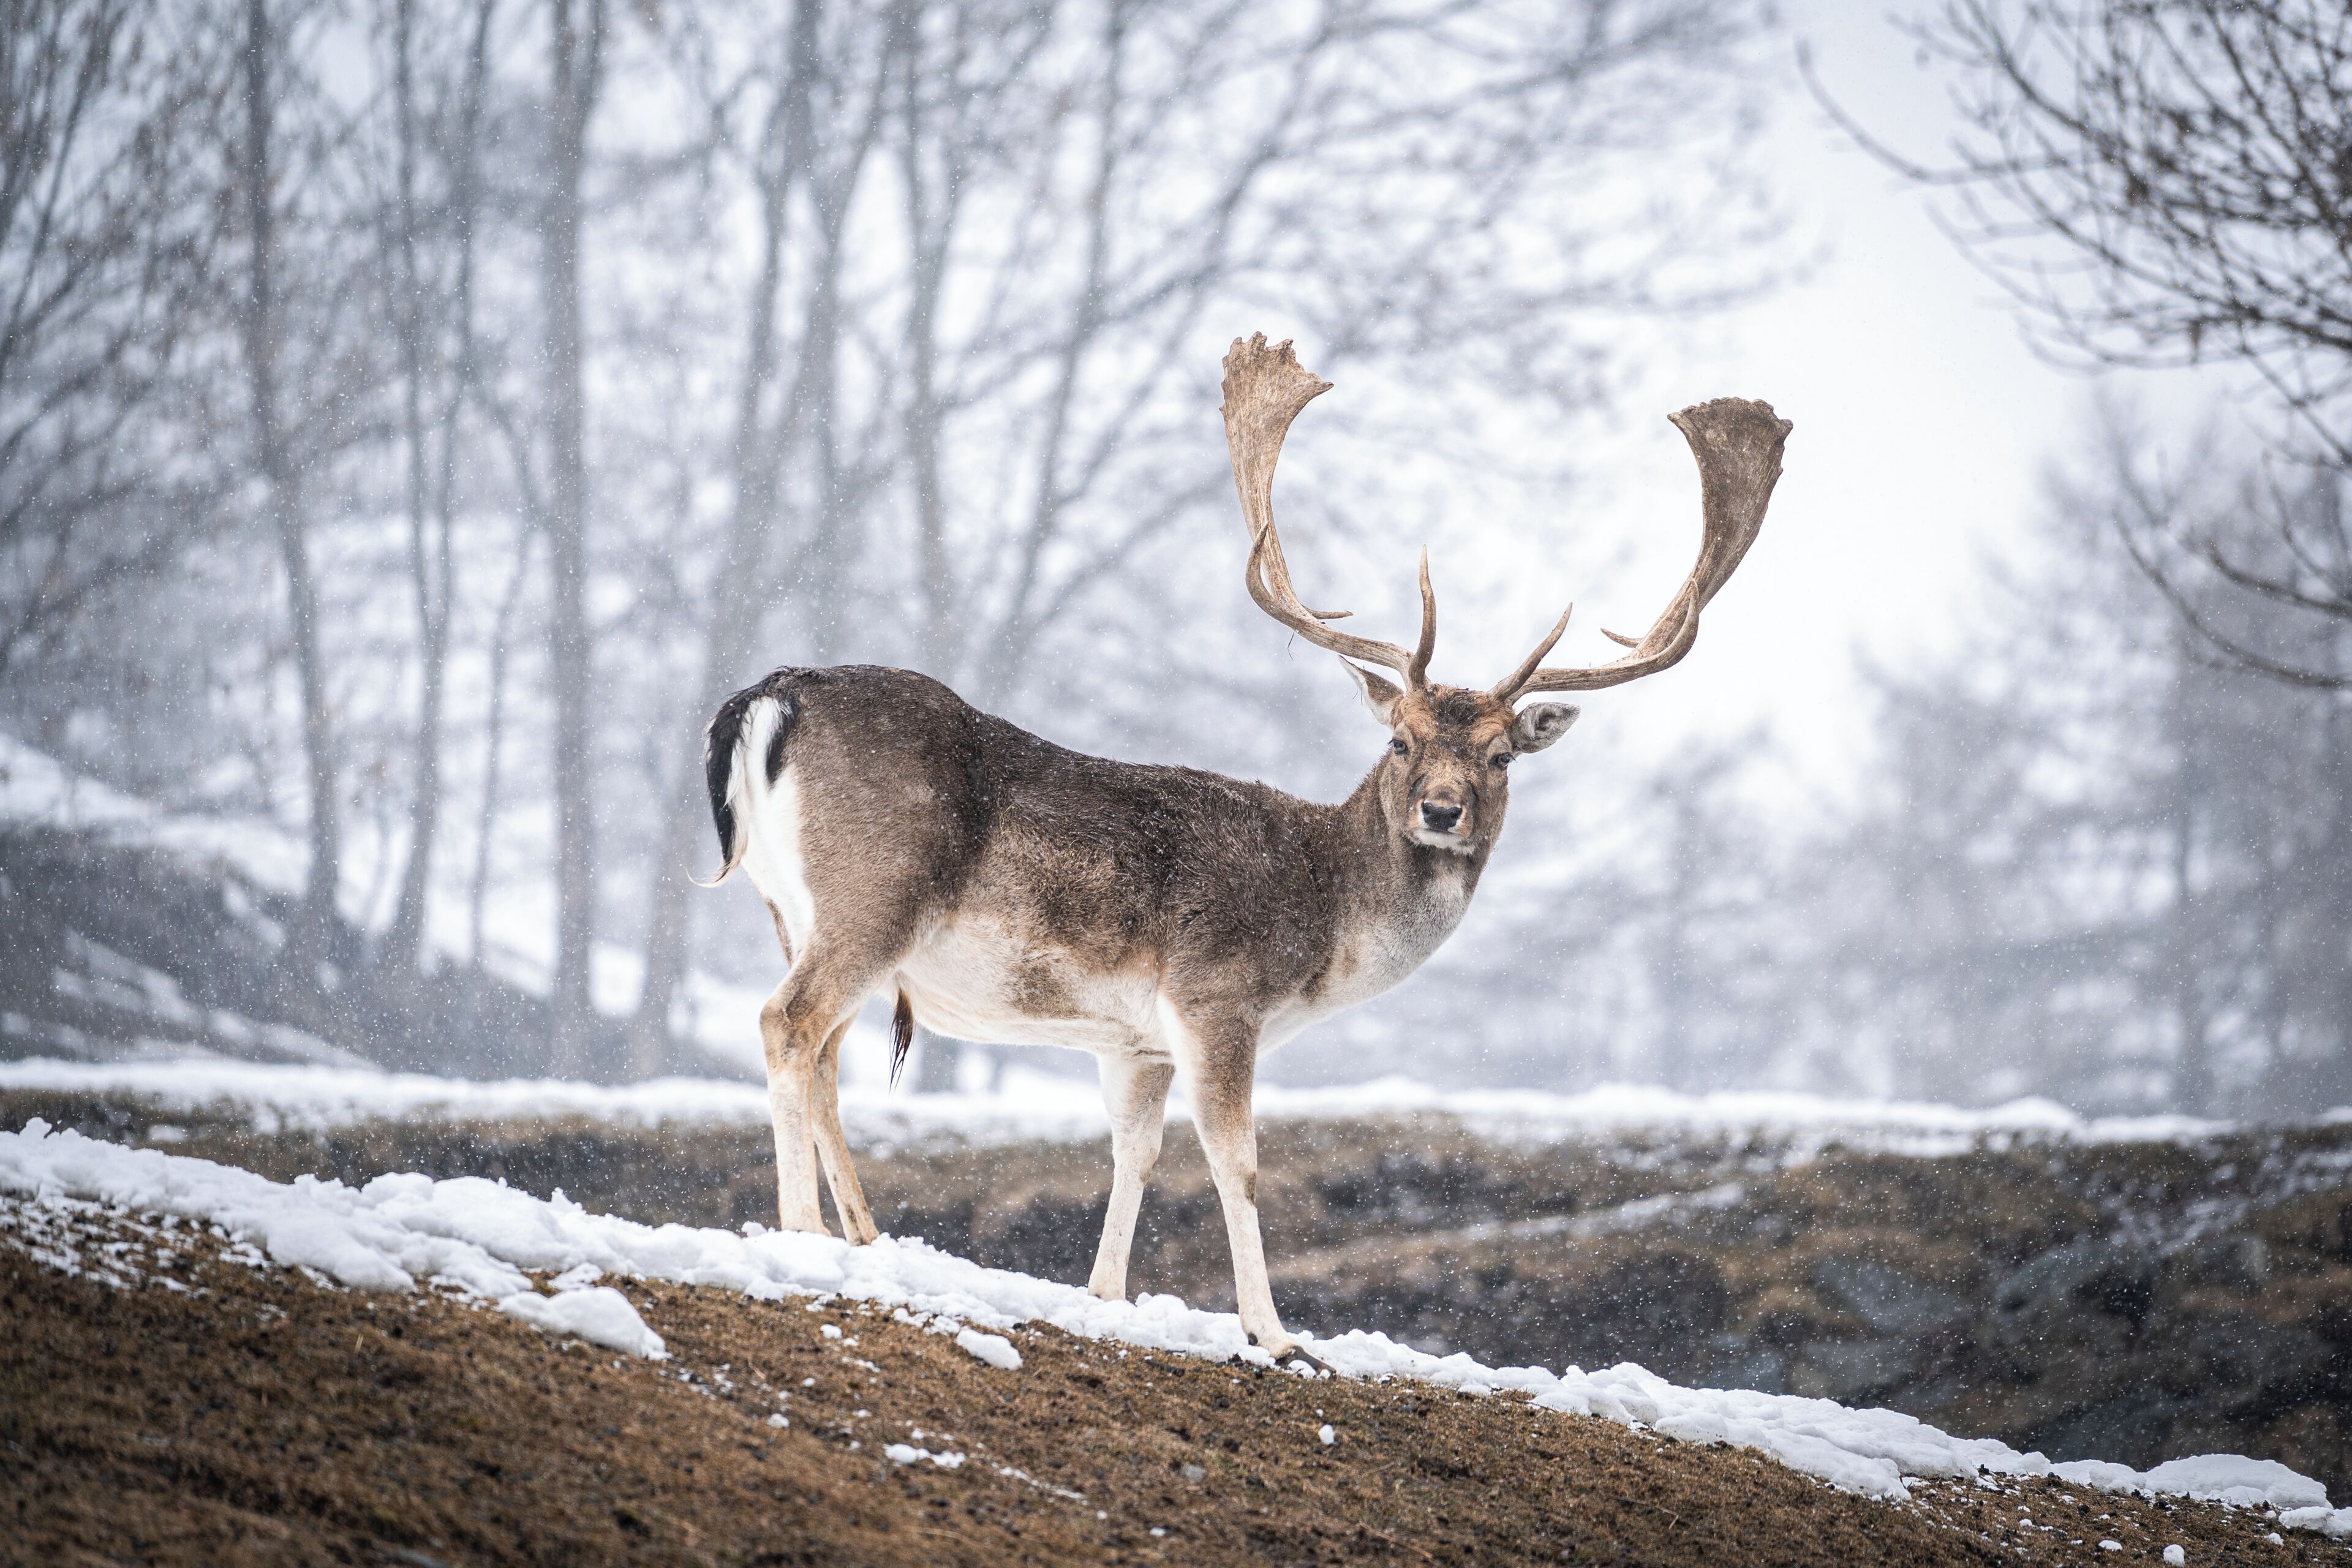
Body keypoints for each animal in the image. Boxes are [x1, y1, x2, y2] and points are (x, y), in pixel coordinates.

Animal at [698, 334, 1789, 1368]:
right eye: (1401, 741)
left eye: (1500, 755)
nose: (1442, 813)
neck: (1324, 919)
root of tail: (765, 698)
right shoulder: (1216, 996)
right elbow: (1238, 1160)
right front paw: (1275, 1332)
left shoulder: (1133, 1040)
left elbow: (1134, 1155)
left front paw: (1106, 1296)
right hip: (873, 896)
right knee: (787, 1023)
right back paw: (804, 1234)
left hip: (794, 911)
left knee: (824, 1051)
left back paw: (863, 1236)